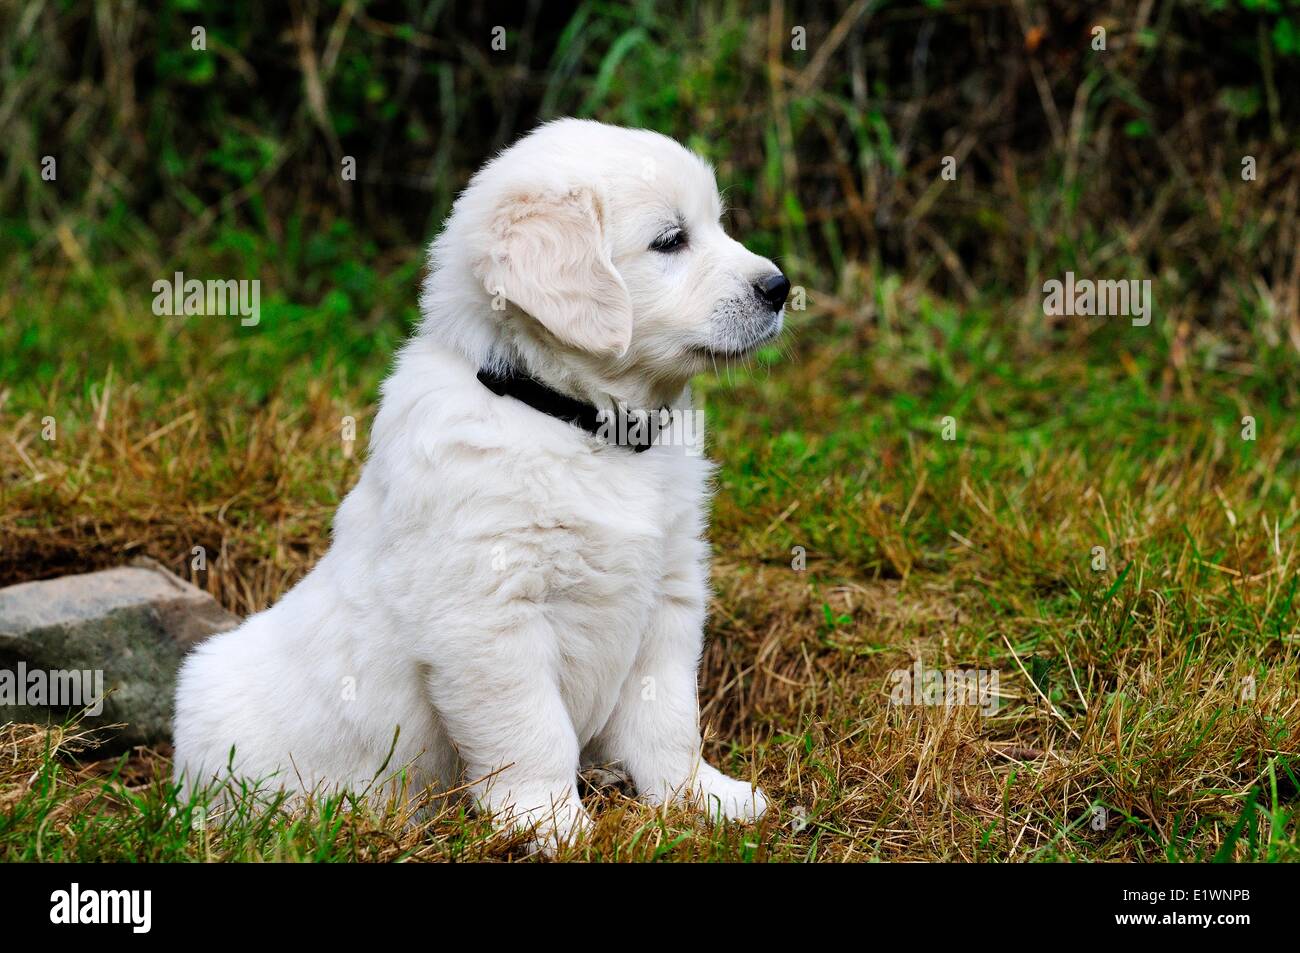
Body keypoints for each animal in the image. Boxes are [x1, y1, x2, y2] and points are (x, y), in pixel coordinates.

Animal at [170, 118, 780, 847]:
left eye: (716, 224)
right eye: (670, 240)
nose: (780, 287)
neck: (579, 423)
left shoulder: (669, 596)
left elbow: (668, 720)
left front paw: (701, 799)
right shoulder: (488, 615)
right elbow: (533, 731)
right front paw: (553, 823)